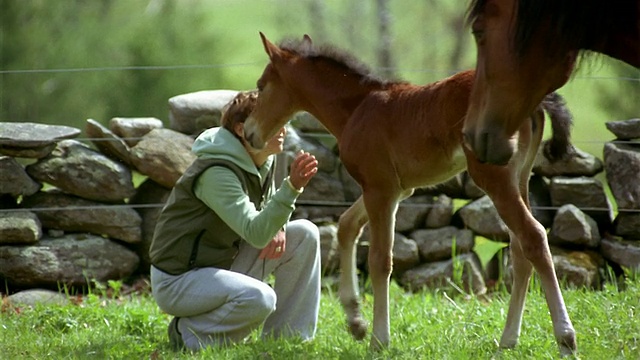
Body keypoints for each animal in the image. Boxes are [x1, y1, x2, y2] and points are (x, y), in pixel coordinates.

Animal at [244, 33, 576, 354]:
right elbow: (347, 226)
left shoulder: (380, 190)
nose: (249, 133)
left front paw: (379, 339)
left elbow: (380, 260)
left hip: (494, 179)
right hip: (520, 178)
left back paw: (565, 339)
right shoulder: (394, 189)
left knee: (533, 237)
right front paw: (355, 321)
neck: (357, 109)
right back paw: (508, 340)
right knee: (520, 250)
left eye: (261, 86)